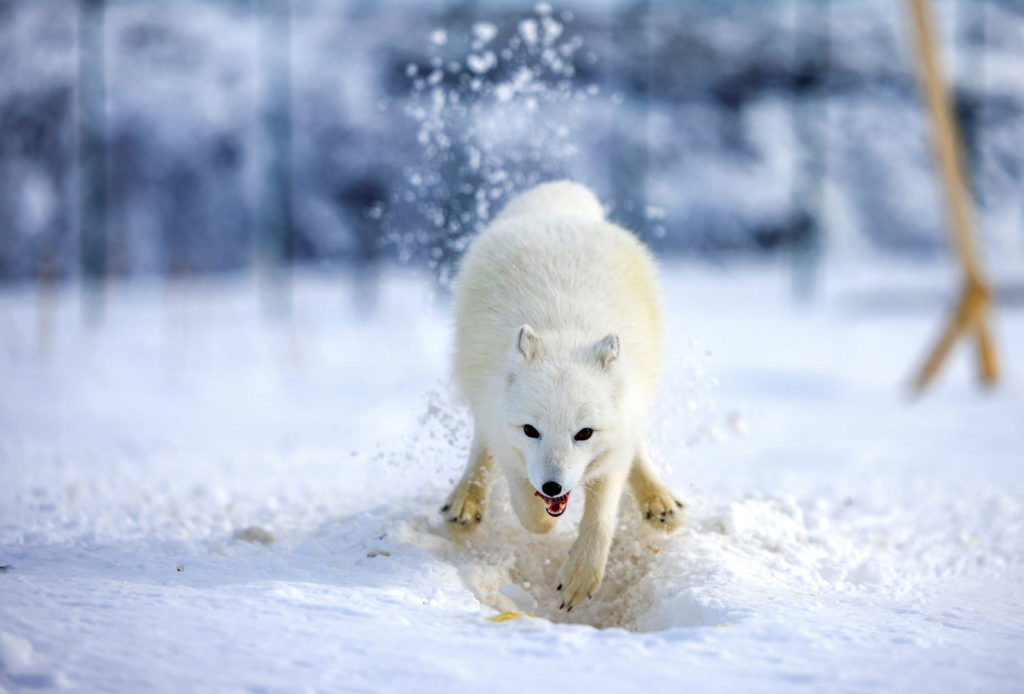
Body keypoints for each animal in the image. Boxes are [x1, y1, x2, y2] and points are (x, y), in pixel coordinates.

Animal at [438, 182, 679, 610]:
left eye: (583, 433)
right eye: (530, 430)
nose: (553, 487)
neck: (566, 333)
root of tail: (559, 205)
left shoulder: (612, 450)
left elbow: (601, 517)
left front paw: (581, 577)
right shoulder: (505, 435)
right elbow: (526, 506)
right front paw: (542, 524)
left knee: (636, 446)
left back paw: (659, 500)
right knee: (480, 446)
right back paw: (467, 499)